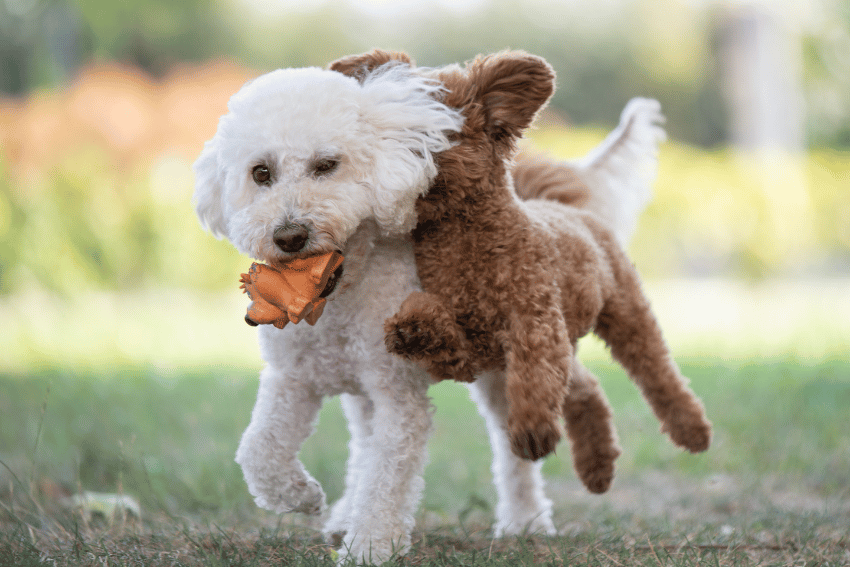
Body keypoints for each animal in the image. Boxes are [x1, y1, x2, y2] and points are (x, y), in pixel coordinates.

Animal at [192, 52, 664, 564]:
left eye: (326, 165)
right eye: (260, 173)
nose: (289, 235)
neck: (340, 295)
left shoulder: (398, 395)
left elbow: (387, 475)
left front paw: (370, 544)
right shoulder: (293, 379)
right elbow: (259, 450)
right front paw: (302, 497)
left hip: (503, 369)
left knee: (517, 439)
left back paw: (525, 521)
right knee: (361, 443)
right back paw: (342, 513)